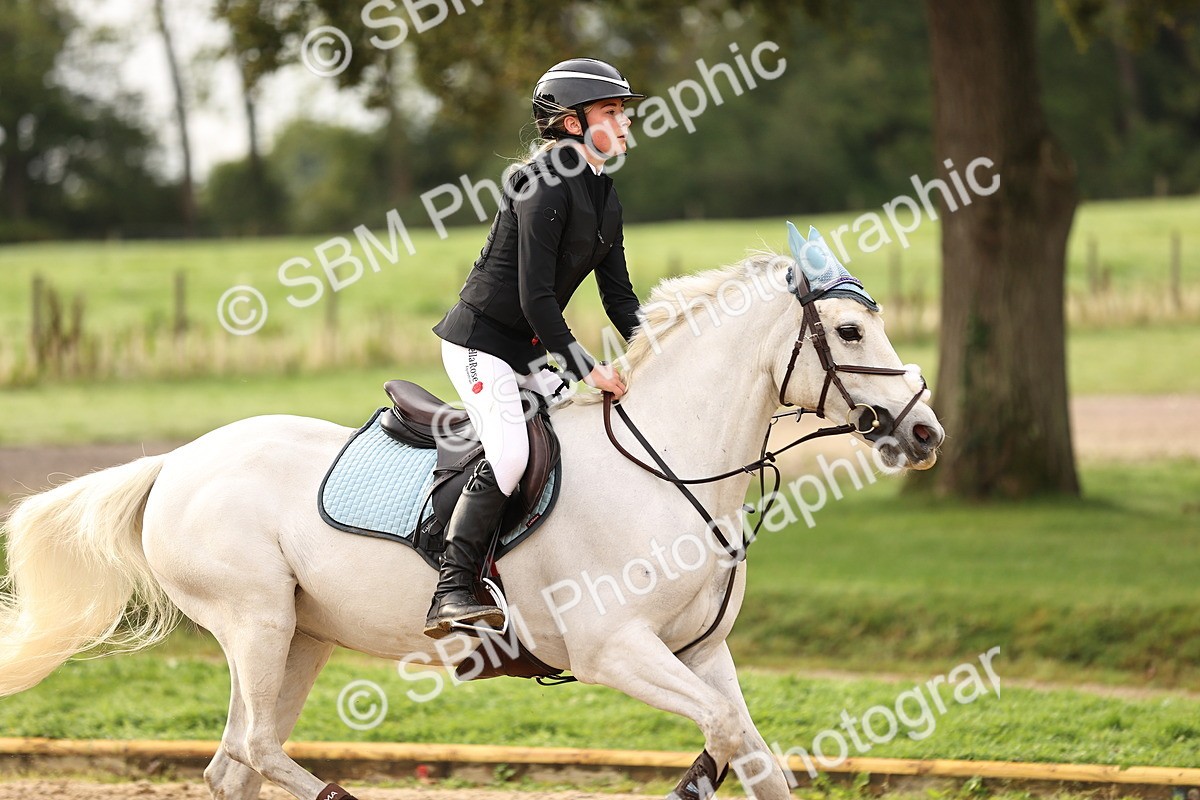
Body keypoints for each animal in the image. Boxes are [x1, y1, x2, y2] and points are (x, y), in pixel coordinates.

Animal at [0, 230, 943, 800]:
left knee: (236, 764)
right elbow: (721, 732)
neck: (670, 466)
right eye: (850, 333)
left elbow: (749, 747)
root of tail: (174, 464)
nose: (925, 431)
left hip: (299, 635)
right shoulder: (614, 651)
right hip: (255, 621)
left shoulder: (699, 652)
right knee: (257, 750)